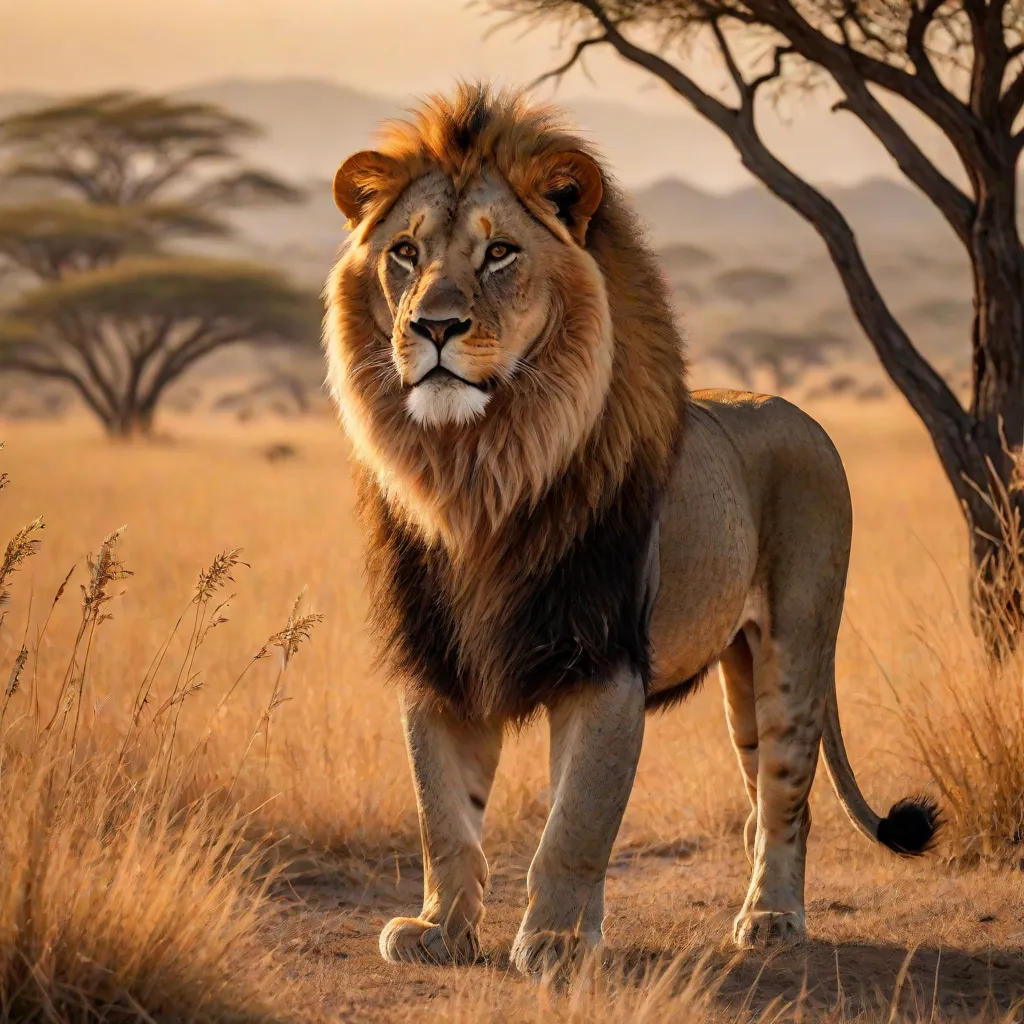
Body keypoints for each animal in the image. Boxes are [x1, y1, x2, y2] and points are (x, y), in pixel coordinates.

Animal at [323, 84, 938, 972]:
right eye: (404, 252)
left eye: (499, 253)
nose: (433, 328)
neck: (479, 471)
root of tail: (799, 413)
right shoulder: (438, 656)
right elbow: (444, 814)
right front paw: (439, 929)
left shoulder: (604, 657)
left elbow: (576, 821)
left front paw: (552, 939)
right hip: (740, 674)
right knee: (758, 797)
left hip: (796, 648)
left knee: (790, 794)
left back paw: (772, 919)